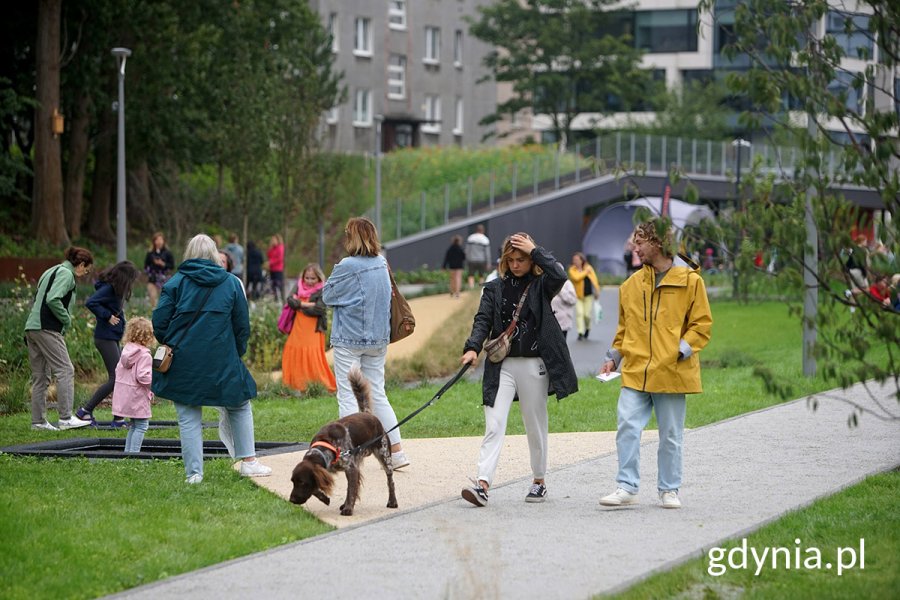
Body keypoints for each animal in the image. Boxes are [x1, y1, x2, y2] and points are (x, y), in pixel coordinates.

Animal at [290, 366, 400, 516]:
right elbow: (320, 488)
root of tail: (368, 414)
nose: (291, 500)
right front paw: (325, 498)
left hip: (384, 456)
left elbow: (351, 490)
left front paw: (348, 508)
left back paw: (392, 501)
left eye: (302, 482)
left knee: (390, 481)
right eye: (293, 481)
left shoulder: (351, 468)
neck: (328, 446)